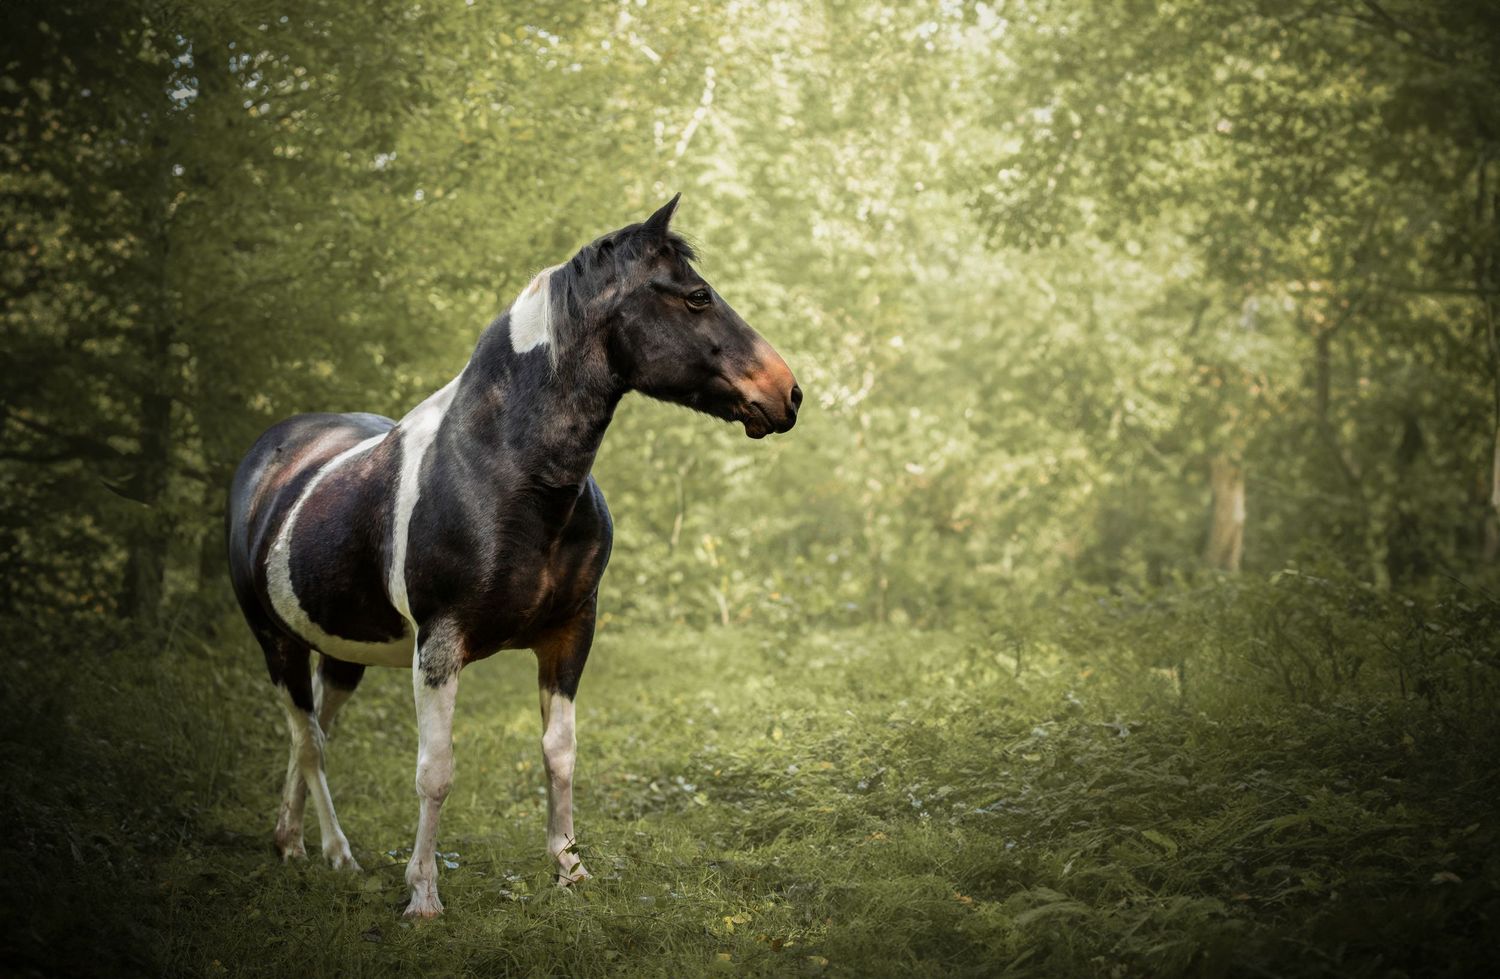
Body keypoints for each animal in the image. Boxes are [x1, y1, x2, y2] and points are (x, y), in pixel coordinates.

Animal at [225, 195, 800, 917]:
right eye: (697, 296)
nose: (788, 392)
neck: (505, 471)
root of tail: (270, 455)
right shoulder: (439, 646)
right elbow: (435, 772)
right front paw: (423, 897)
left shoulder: (569, 634)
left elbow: (560, 754)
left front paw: (569, 868)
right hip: (275, 642)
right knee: (309, 742)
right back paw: (336, 853)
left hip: (341, 653)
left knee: (313, 737)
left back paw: (291, 841)